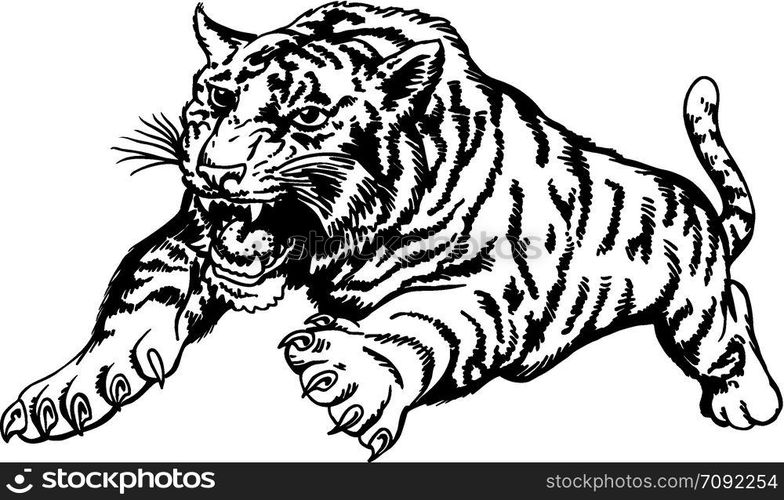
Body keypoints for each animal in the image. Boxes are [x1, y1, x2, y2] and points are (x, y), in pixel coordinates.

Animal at [2, 2, 780, 461]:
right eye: (216, 100)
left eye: (304, 117)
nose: (216, 172)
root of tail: (705, 214)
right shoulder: (192, 232)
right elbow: (138, 296)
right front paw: (63, 391)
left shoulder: (497, 281)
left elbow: (426, 323)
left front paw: (350, 374)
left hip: (695, 310)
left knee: (730, 319)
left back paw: (749, 404)